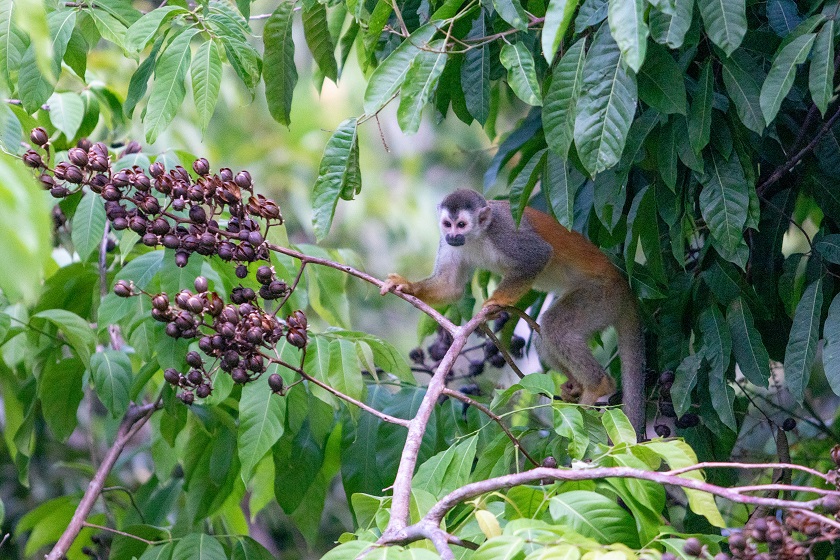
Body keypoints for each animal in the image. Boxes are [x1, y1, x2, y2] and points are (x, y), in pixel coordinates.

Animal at [380, 189, 646, 434]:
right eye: (448, 224)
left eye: (461, 224)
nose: (453, 235)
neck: (478, 235)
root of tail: (624, 287)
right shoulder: (444, 242)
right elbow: (450, 286)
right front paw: (406, 286)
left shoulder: (504, 232)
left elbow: (538, 255)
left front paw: (495, 302)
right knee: (544, 335)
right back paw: (576, 385)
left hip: (602, 297)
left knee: (555, 326)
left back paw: (598, 386)